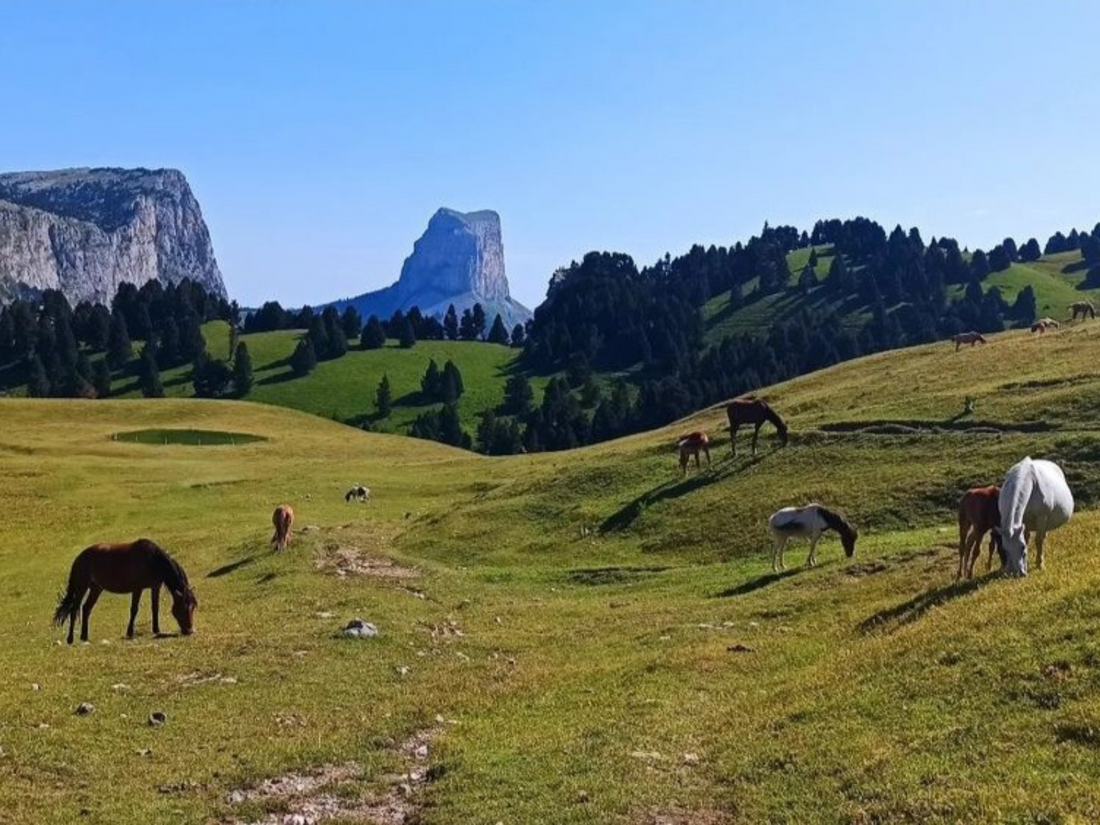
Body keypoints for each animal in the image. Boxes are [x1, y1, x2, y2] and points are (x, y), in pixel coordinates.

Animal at [54, 539, 198, 651]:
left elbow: (155, 608)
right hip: (81, 587)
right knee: (74, 610)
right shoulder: (137, 589)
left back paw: (84, 637)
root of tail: (79, 558)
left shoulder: (155, 587)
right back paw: (70, 639)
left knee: (86, 608)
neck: (152, 560)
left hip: (96, 588)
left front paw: (156, 629)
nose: (190, 631)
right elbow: (134, 609)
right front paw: (129, 632)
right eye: (183, 608)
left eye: (193, 607)